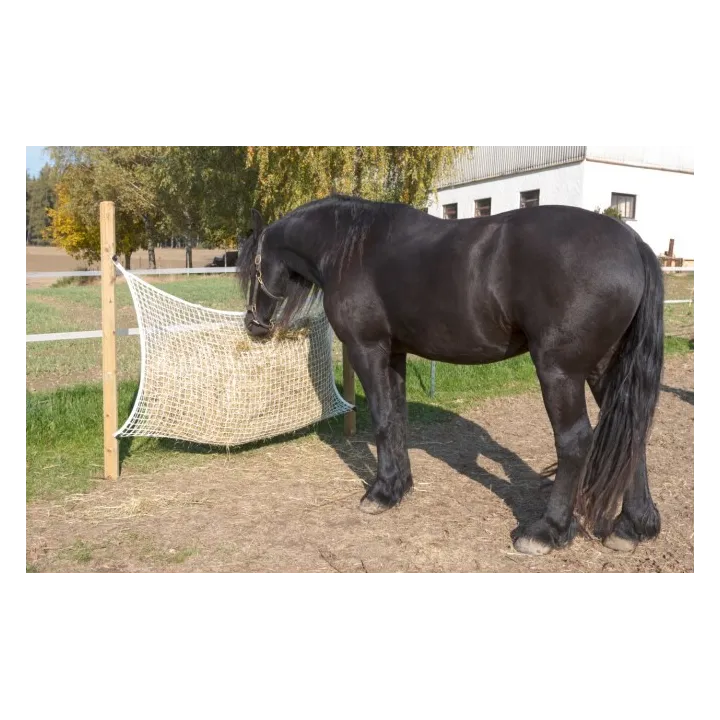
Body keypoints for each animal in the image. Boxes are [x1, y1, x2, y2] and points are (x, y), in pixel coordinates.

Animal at [236, 194, 664, 556]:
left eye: (252, 267)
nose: (252, 325)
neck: (351, 250)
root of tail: (632, 242)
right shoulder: (394, 353)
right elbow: (397, 418)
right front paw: (399, 487)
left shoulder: (367, 350)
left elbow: (381, 418)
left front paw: (379, 493)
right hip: (605, 367)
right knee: (633, 433)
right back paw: (632, 527)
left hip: (561, 372)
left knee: (575, 442)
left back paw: (546, 530)